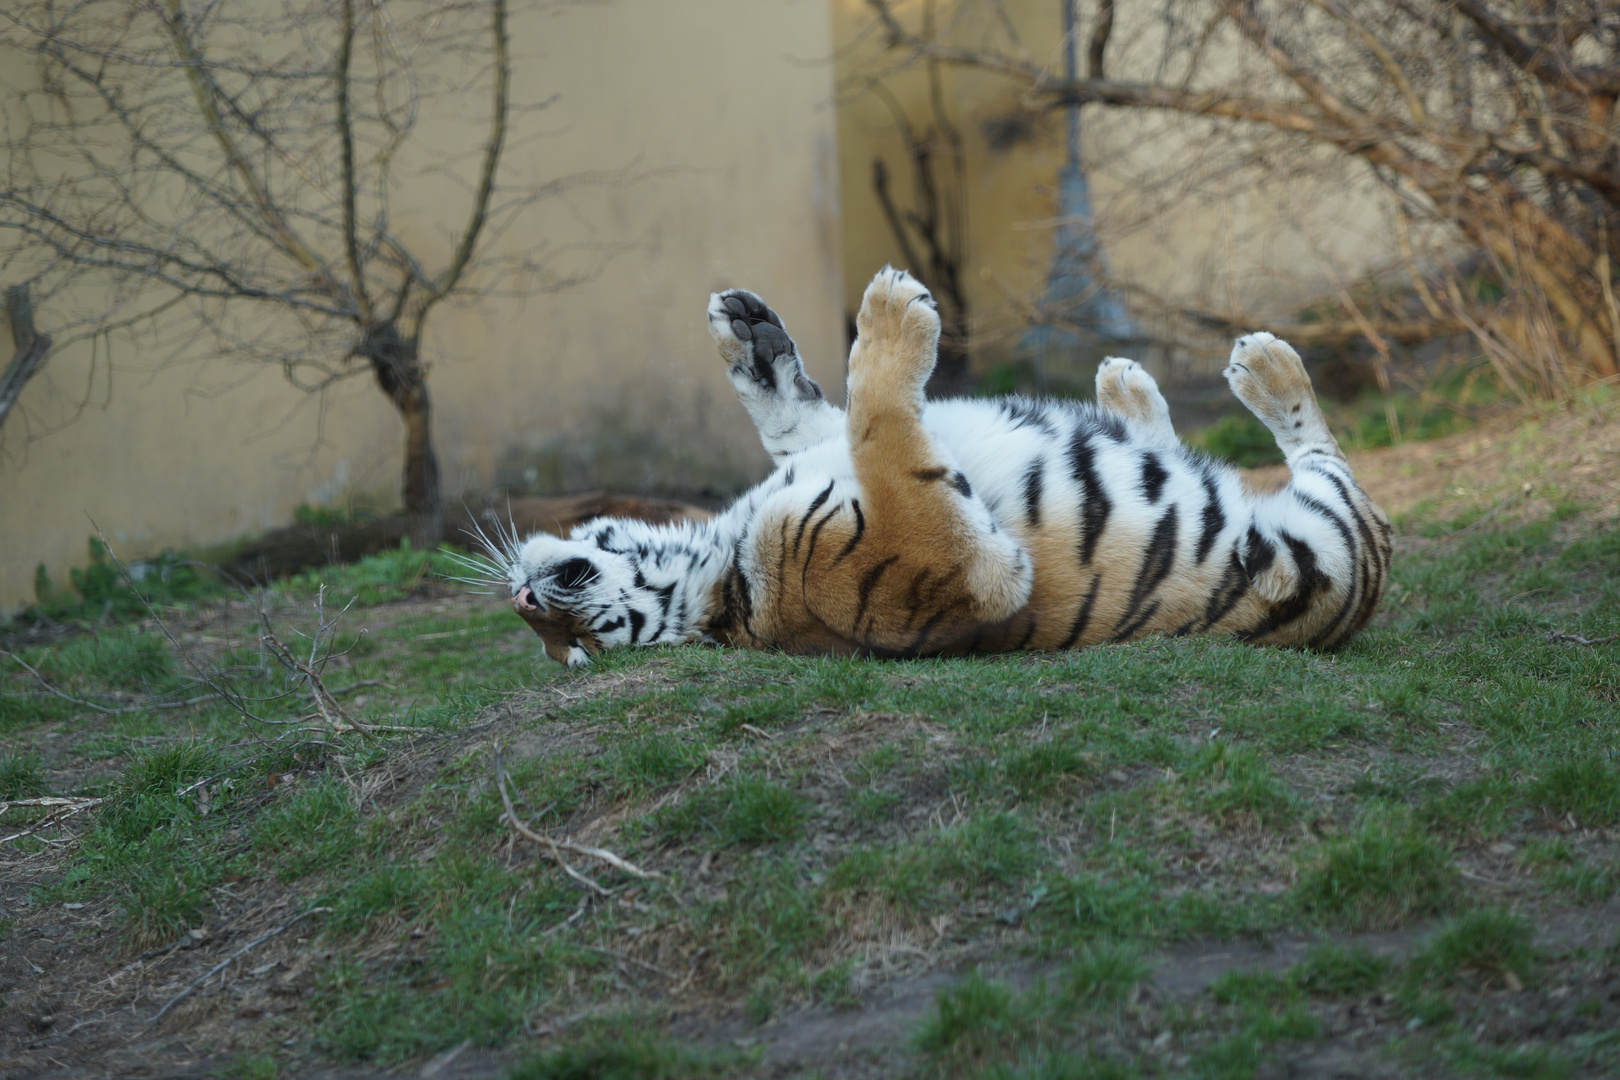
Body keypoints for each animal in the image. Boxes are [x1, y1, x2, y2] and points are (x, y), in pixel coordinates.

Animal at [482, 267, 1393, 667]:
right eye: (574, 645)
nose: (525, 595)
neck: (721, 562)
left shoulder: (810, 454)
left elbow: (808, 417)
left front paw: (748, 333)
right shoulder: (960, 566)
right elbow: (881, 424)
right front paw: (890, 313)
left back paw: (1125, 382)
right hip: (1327, 541)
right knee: (1325, 455)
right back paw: (1266, 367)